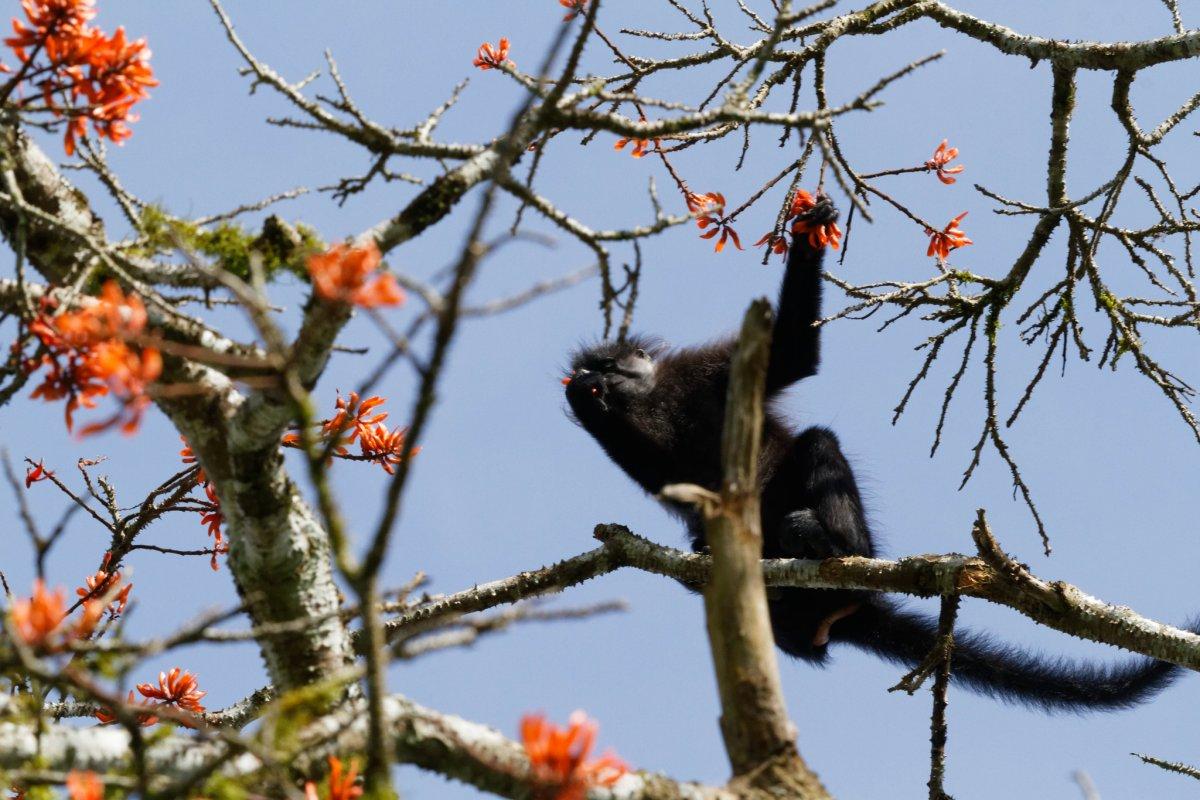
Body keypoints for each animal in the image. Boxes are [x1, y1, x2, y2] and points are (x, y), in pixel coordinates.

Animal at [564, 195, 1180, 714]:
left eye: (609, 363)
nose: (595, 380)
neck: (651, 405)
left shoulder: (704, 372)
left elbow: (789, 354)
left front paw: (807, 226)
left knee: (812, 451)